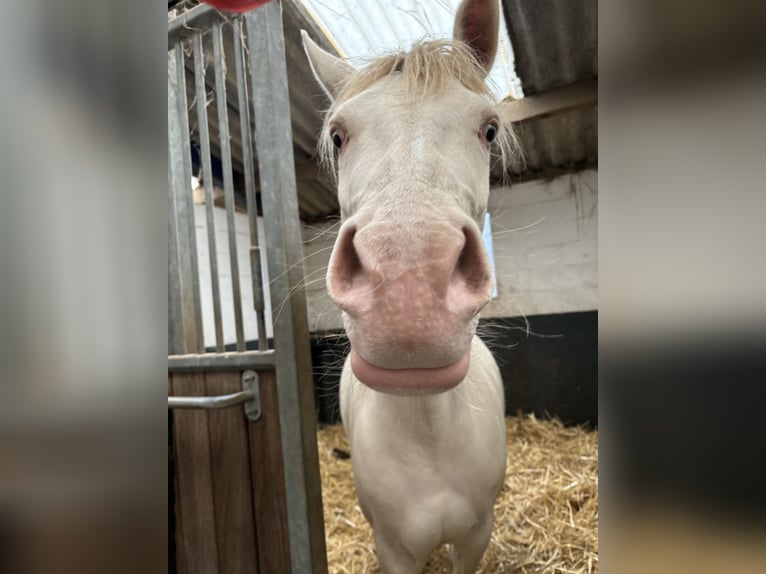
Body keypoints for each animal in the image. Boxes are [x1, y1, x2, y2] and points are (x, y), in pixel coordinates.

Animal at [304, 2, 520, 572]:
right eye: (338, 135)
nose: (408, 286)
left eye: (490, 129)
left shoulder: (475, 537)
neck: (428, 433)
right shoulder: (393, 548)